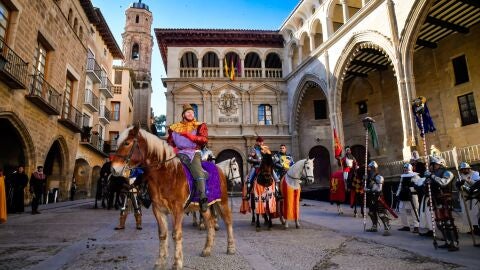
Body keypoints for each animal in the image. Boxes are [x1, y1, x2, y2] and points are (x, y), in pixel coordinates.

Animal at [110, 126, 234, 270]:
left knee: (228, 221)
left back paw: (231, 247)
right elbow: (163, 235)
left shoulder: (177, 210)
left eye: (127, 143)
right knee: (210, 224)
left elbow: (176, 234)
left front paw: (177, 262)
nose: (114, 169)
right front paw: (160, 262)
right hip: (205, 206)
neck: (166, 174)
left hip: (222, 202)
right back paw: (207, 249)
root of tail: (218, 168)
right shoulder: (158, 210)